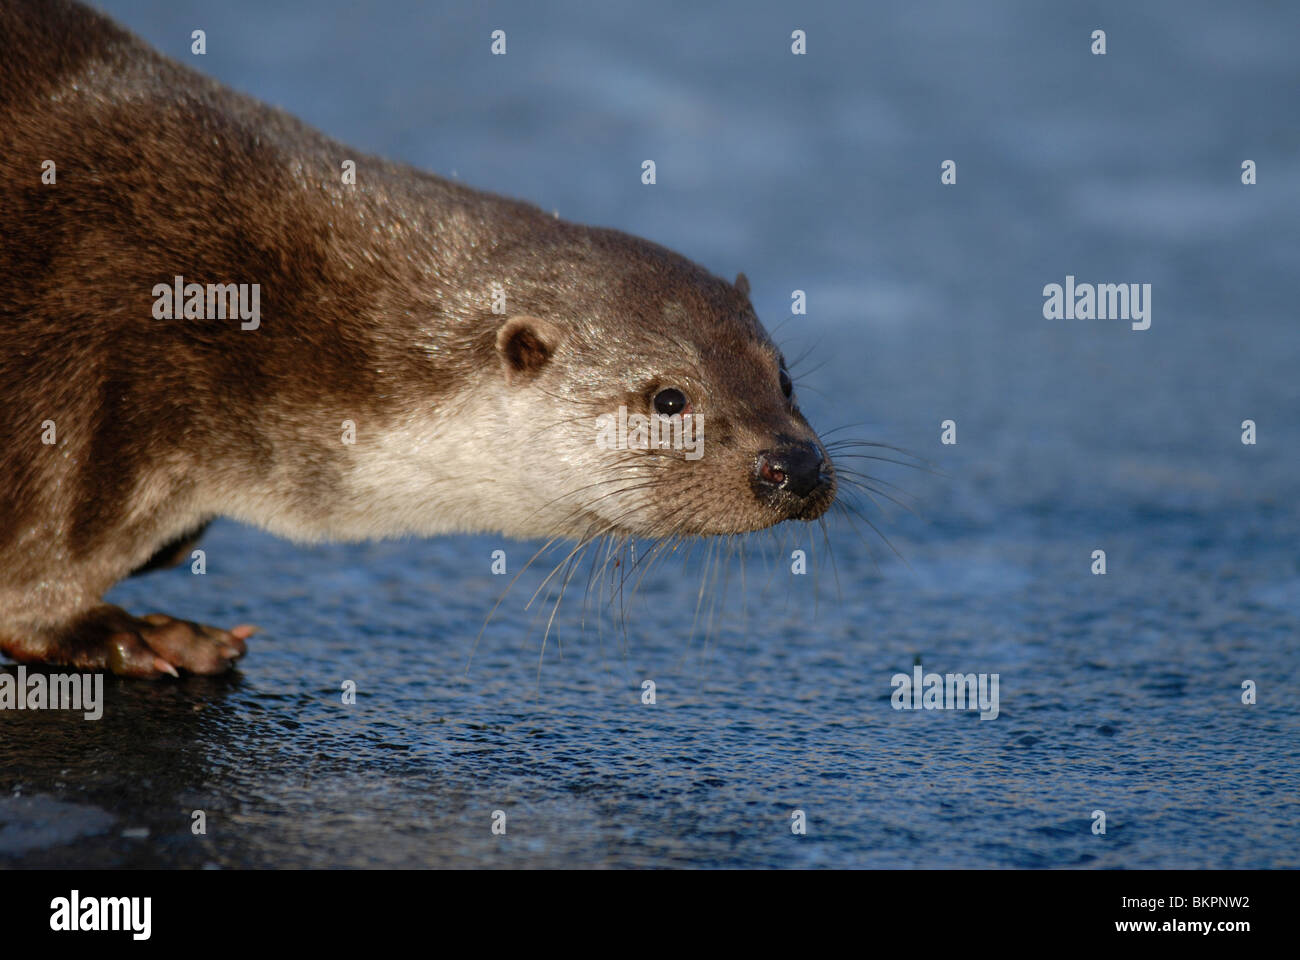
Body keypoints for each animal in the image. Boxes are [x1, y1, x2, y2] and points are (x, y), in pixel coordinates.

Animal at [0, 0, 832, 676]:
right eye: (668, 399)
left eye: (784, 378)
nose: (793, 465)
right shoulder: (88, 369)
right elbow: (33, 590)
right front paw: (131, 635)